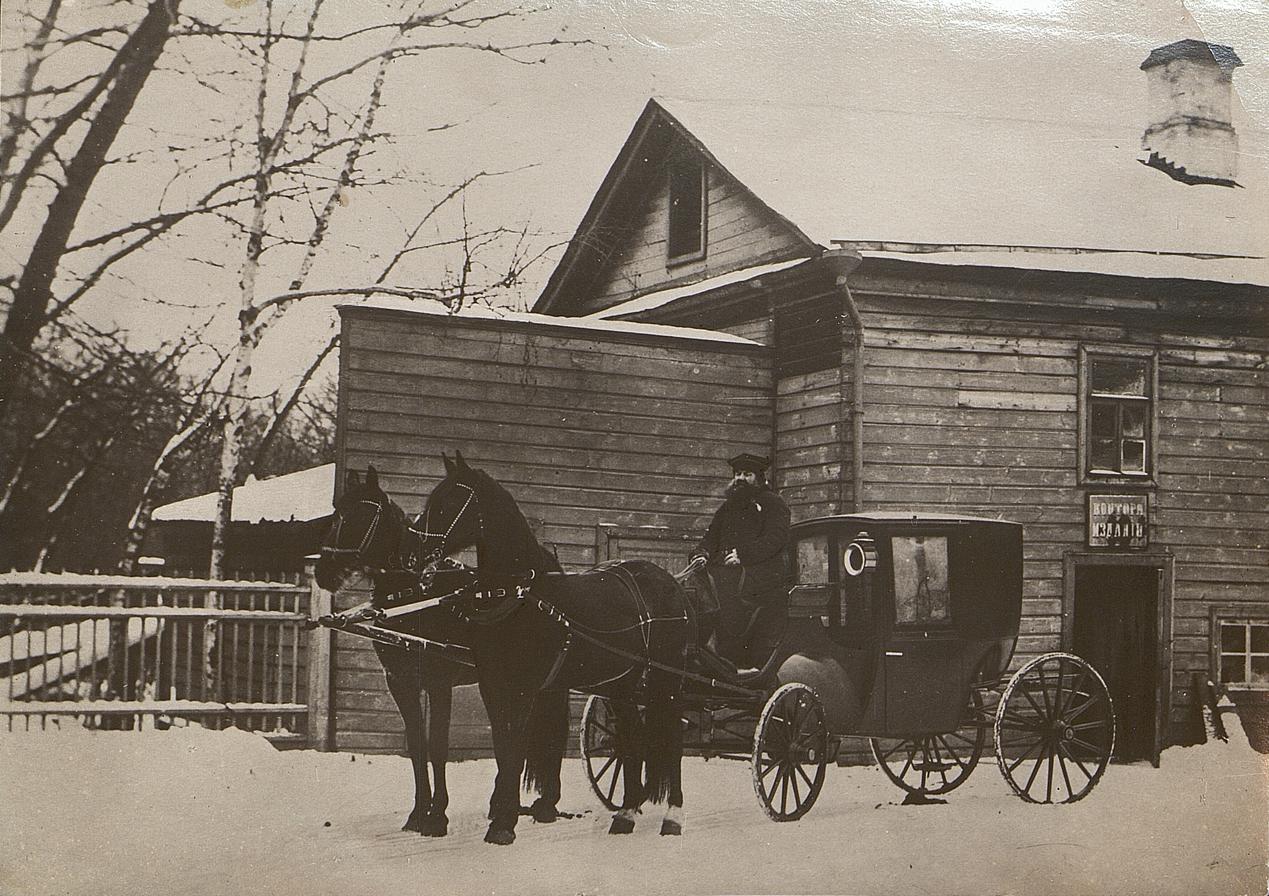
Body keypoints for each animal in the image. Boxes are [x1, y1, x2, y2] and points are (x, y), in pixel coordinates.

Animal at [312, 467, 565, 837]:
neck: (415, 597)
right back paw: (502, 804)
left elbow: (438, 746)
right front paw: (418, 813)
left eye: (360, 515)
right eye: (337, 514)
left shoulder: (438, 682)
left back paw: (545, 804)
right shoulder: (400, 682)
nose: (324, 572)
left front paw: (437, 816)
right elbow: (418, 745)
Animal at [413, 449, 695, 842]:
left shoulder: (525, 689)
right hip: (620, 684)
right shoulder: (493, 686)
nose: (415, 547)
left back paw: (673, 817)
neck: (518, 596)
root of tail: (671, 584)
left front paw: (504, 824)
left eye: (452, 501)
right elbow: (502, 749)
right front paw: (503, 816)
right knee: (632, 739)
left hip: (665, 681)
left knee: (671, 738)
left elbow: (515, 749)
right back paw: (625, 815)